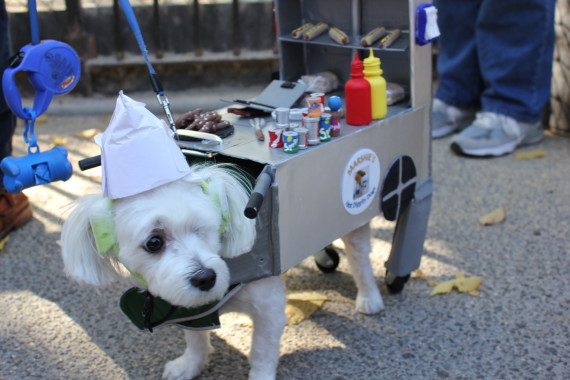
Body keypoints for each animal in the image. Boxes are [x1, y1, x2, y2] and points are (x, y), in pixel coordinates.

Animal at [61, 163, 382, 380]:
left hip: (354, 222)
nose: (205, 278)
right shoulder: (189, 309)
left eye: (205, 227)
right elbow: (195, 340)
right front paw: (190, 365)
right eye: (154, 242)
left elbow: (261, 350)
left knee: (360, 261)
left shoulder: (268, 308)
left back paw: (369, 297)